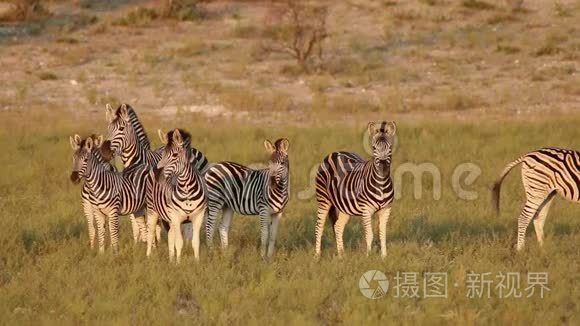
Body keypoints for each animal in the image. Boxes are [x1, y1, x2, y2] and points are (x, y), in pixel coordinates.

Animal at [146, 129, 207, 264]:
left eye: (174, 155)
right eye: (163, 154)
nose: (157, 174)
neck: (187, 190)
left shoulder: (198, 216)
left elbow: (195, 242)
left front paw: (197, 263)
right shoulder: (176, 217)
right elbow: (179, 242)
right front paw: (178, 264)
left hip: (169, 218)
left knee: (170, 236)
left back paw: (170, 259)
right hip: (152, 210)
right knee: (151, 233)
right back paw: (148, 256)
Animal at [314, 121, 396, 258]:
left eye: (389, 148)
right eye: (374, 148)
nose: (383, 167)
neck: (381, 184)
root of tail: (335, 152)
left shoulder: (386, 209)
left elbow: (382, 234)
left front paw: (384, 257)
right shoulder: (366, 210)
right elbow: (369, 235)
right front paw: (368, 256)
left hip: (344, 207)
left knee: (338, 227)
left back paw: (341, 255)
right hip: (323, 199)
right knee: (319, 227)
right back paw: (317, 255)